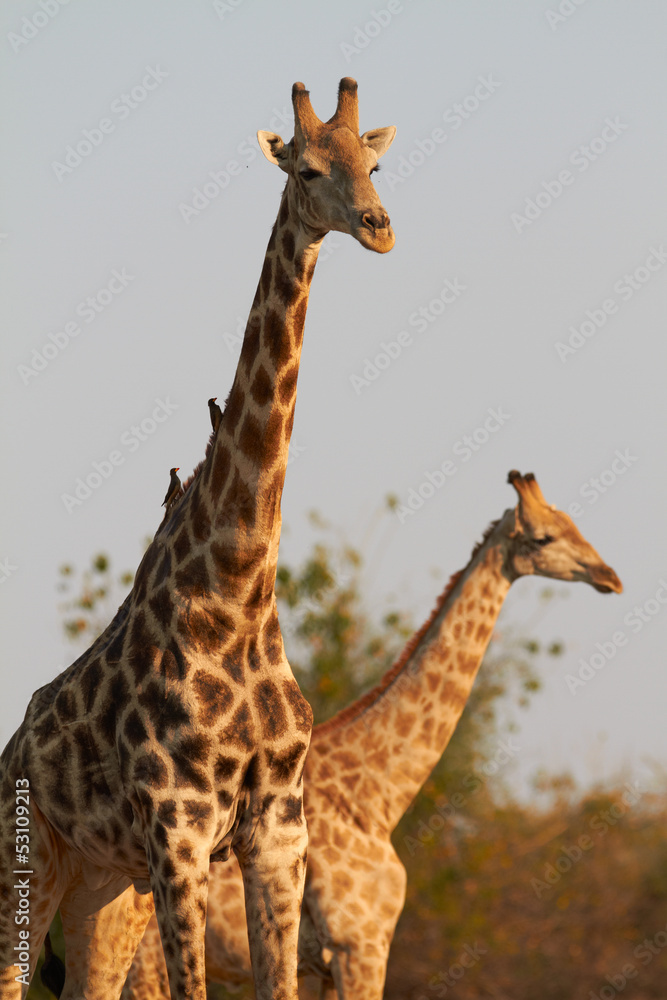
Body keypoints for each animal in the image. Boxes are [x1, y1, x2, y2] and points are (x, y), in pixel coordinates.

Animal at [0, 78, 396, 1000]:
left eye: (375, 164)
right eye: (308, 166)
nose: (378, 225)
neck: (238, 585)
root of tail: (9, 752)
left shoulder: (276, 833)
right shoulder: (178, 832)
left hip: (104, 884)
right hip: (26, 862)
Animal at [99, 470, 622, 1000]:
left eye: (573, 523)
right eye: (544, 537)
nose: (610, 577)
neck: (378, 797)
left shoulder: (320, 965)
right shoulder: (359, 946)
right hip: (147, 956)